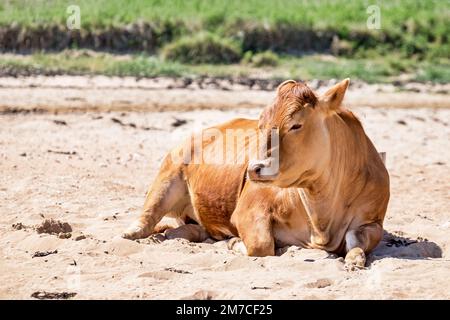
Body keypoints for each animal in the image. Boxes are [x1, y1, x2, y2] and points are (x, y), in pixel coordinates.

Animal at [123, 79, 390, 268]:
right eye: (261, 126)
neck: (322, 216)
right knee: (146, 219)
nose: (255, 167)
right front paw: (234, 242)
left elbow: (357, 242)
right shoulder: (248, 210)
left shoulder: (373, 221)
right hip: (167, 176)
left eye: (296, 124)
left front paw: (355, 259)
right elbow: (262, 246)